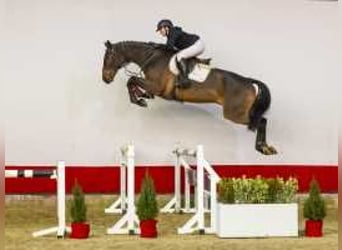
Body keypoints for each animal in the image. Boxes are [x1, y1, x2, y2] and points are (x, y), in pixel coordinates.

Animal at [101, 40, 278, 154]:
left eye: (108, 57)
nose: (105, 79)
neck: (151, 58)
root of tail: (250, 82)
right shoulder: (153, 87)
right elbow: (134, 83)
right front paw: (142, 96)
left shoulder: (156, 87)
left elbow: (131, 80)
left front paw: (138, 101)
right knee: (262, 120)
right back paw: (264, 148)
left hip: (234, 114)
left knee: (260, 121)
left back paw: (263, 148)